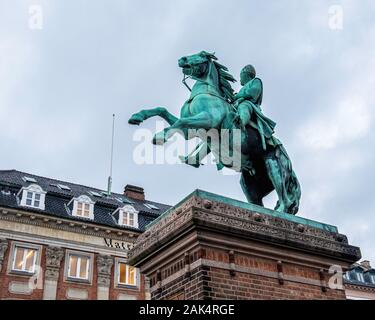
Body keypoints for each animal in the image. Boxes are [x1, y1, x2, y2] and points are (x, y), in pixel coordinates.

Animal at [129, 50, 302, 215]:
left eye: (202, 54)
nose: (182, 59)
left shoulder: (208, 120)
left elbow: (179, 122)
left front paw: (160, 136)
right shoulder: (189, 131)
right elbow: (162, 110)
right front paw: (137, 116)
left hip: (273, 165)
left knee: (285, 200)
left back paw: (280, 213)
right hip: (249, 184)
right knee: (258, 202)